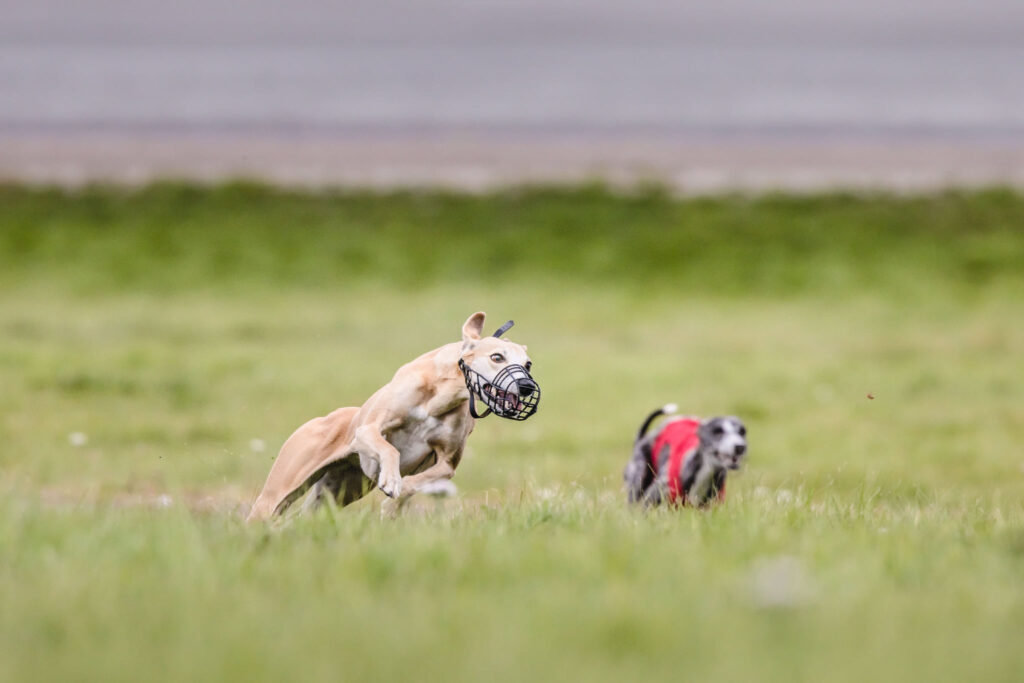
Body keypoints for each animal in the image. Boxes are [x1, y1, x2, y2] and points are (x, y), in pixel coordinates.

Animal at [246, 313, 540, 520]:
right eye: (497, 357)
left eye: (528, 364)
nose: (527, 386)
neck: (440, 396)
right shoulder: (368, 429)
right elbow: (390, 449)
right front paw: (391, 480)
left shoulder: (447, 464)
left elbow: (417, 482)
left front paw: (394, 501)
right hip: (279, 491)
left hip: (336, 492)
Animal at [618, 405, 749, 507]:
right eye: (717, 431)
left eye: (742, 431)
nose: (740, 447)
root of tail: (641, 439)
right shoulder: (652, 497)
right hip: (638, 482)